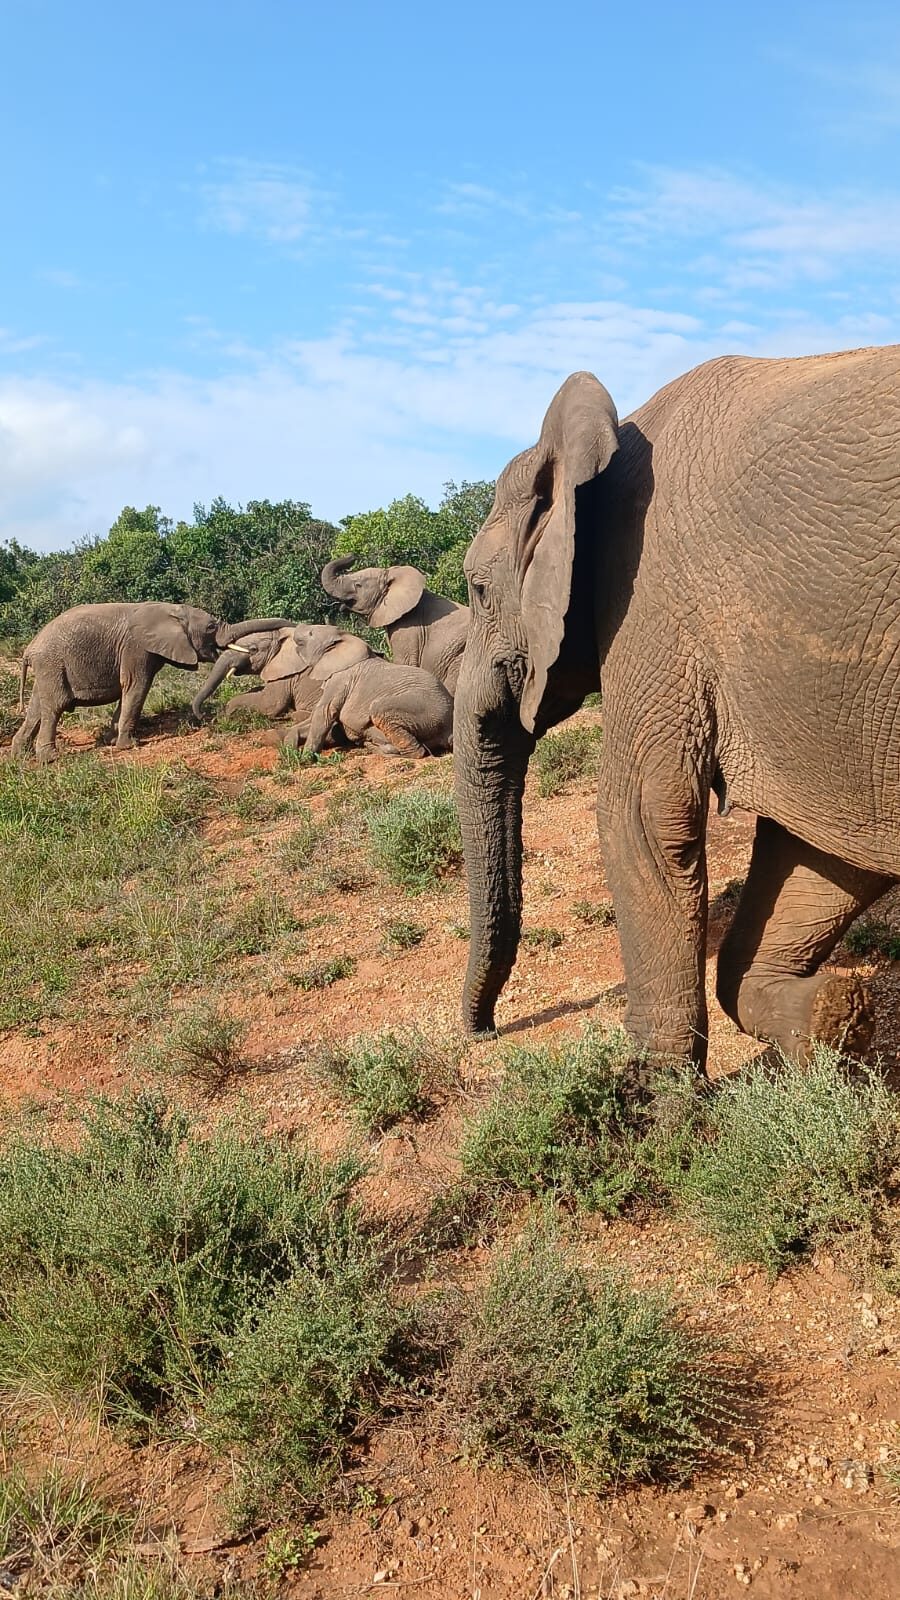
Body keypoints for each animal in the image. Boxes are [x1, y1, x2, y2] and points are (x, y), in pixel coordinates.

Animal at [12, 603, 292, 759]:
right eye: (211, 627)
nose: (206, 718)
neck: (170, 609)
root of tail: (28, 650)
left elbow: (130, 691)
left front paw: (111, 741)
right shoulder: (136, 648)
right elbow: (137, 686)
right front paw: (128, 745)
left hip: (47, 669)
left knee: (37, 708)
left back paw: (18, 754)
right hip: (52, 664)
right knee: (54, 706)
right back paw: (49, 758)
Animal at [290, 623, 454, 757]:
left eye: (311, 633)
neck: (346, 639)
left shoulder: (340, 679)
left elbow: (324, 713)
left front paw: (304, 757)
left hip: (426, 710)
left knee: (380, 711)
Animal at [453, 347, 900, 1069]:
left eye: (477, 589)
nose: (485, 1033)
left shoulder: (650, 596)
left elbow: (641, 814)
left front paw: (651, 1088)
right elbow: (826, 847)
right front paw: (833, 1018)